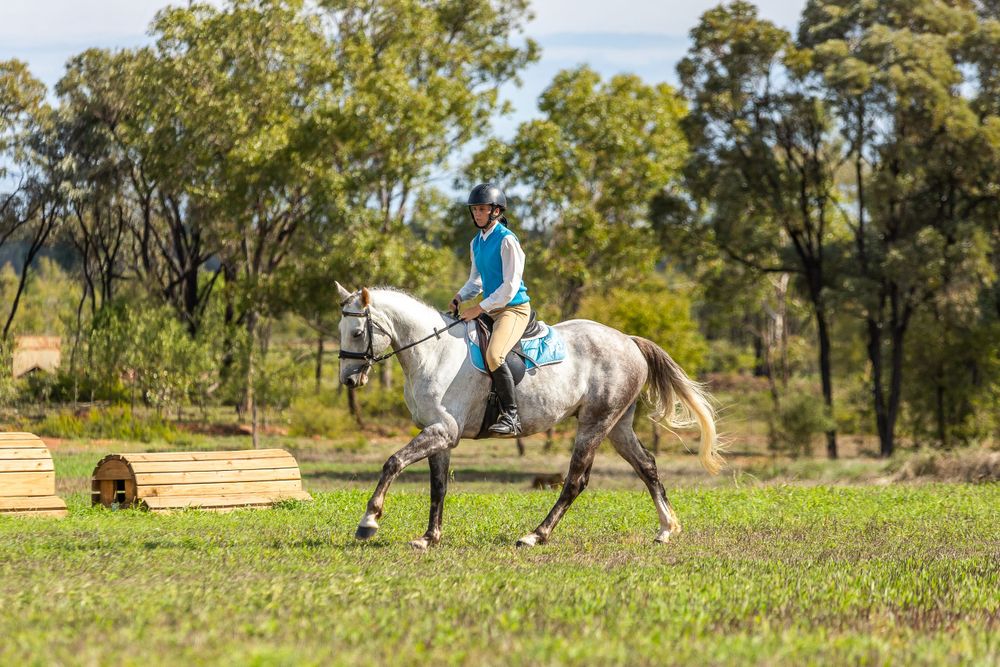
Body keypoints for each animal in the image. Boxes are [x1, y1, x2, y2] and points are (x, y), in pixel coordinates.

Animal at [335, 283, 722, 549]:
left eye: (357, 332)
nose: (349, 380)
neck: (433, 352)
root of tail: (628, 340)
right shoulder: (439, 433)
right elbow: (438, 486)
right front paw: (429, 537)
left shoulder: (443, 431)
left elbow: (393, 462)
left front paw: (369, 521)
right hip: (617, 426)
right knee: (647, 466)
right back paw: (666, 529)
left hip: (594, 423)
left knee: (575, 481)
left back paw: (536, 535)